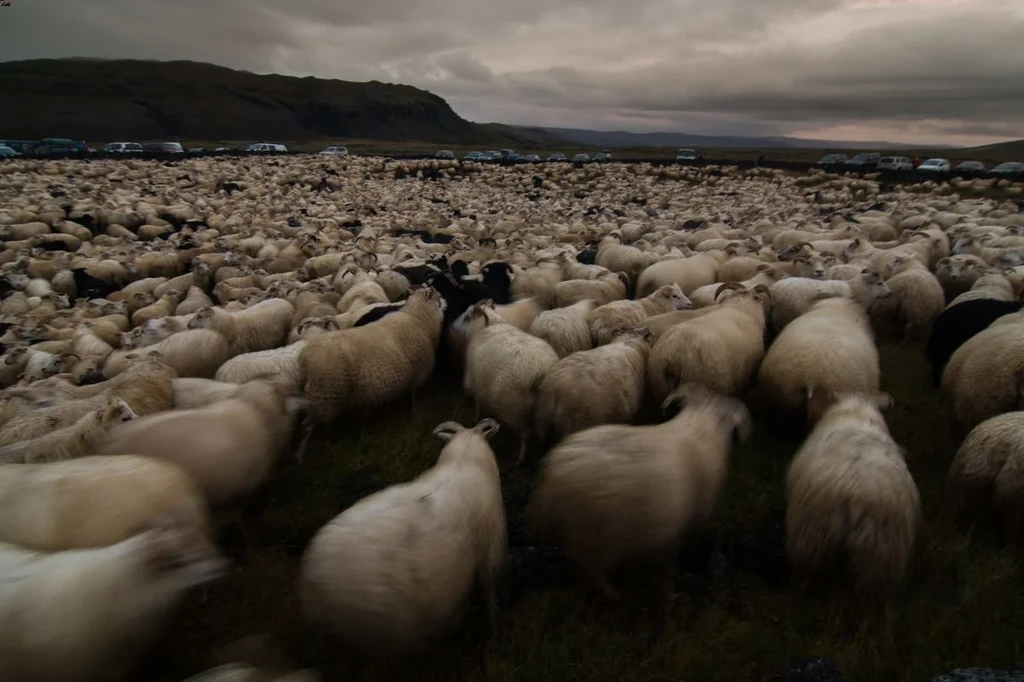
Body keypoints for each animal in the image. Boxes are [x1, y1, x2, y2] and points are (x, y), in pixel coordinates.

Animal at [464, 301, 561, 462]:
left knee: (526, 434)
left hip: (513, 409)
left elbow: (477, 402)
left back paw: (520, 458)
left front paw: (475, 417)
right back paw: (540, 451)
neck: (491, 324)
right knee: (541, 432)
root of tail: (540, 372)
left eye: (468, 316)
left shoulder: (476, 380)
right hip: (545, 409)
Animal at [528, 385, 753, 598]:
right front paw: (669, 591)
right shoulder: (675, 532)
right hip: (594, 536)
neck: (700, 429)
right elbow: (668, 568)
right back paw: (612, 593)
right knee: (593, 572)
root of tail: (553, 472)